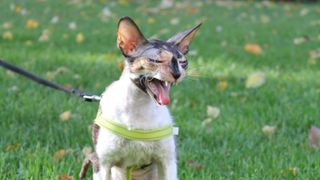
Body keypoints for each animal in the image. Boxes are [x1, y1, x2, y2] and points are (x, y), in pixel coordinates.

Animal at [79, 16, 200, 179]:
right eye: (155, 61)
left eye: (184, 63)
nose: (177, 73)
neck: (140, 106)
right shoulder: (103, 164)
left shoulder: (168, 161)